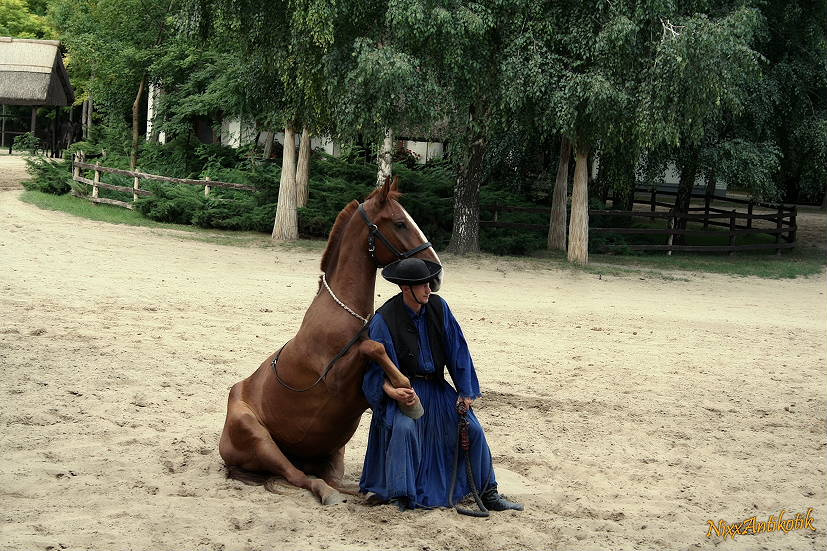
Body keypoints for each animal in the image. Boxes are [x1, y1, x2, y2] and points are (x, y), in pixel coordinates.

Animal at [218, 177, 442, 505]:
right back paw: (328, 493)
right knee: (301, 477)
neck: (342, 314)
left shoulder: (359, 395)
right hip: (260, 439)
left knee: (333, 480)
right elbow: (374, 347)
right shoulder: (335, 380)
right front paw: (407, 391)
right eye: (400, 223)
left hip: (332, 449)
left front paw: (406, 395)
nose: (435, 274)